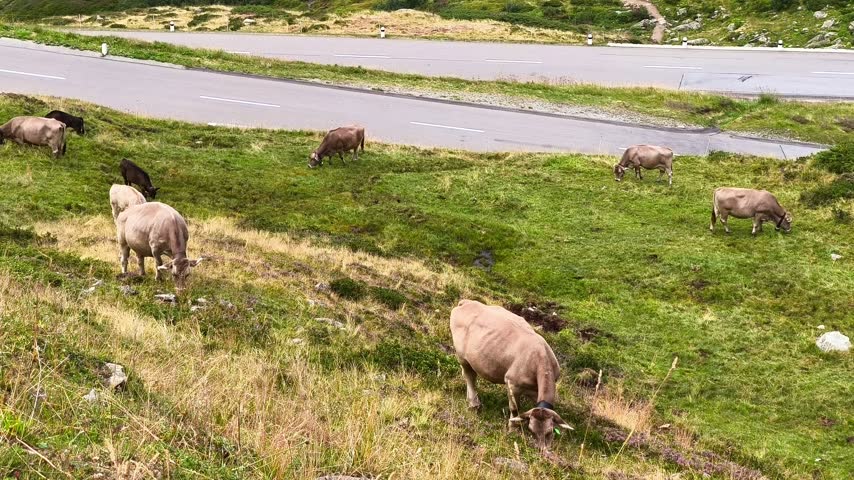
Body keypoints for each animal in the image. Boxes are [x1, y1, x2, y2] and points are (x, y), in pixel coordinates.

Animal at [450, 299, 572, 451]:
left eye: (550, 432)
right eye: (531, 430)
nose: (541, 449)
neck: (540, 357)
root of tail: (466, 302)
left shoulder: (534, 391)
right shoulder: (512, 384)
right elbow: (515, 409)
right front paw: (513, 429)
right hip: (462, 355)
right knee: (469, 376)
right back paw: (474, 403)